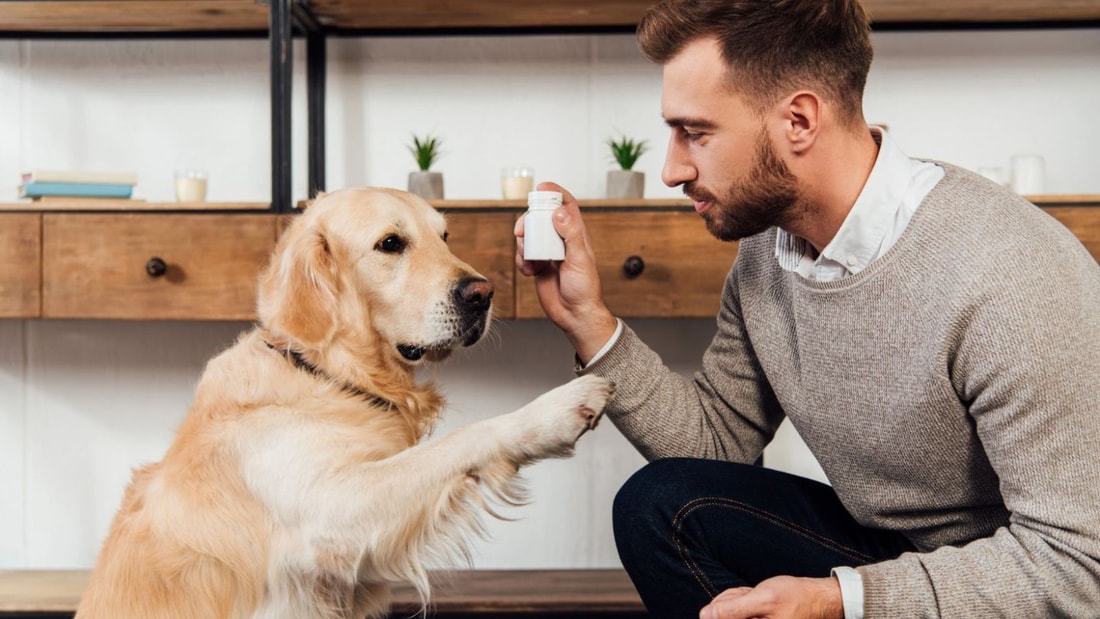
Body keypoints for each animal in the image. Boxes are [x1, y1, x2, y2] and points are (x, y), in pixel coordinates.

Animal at [74, 186, 616, 615]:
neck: (331, 376)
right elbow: (464, 439)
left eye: (444, 237)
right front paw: (559, 407)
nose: (483, 293)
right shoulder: (331, 516)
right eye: (390, 244)